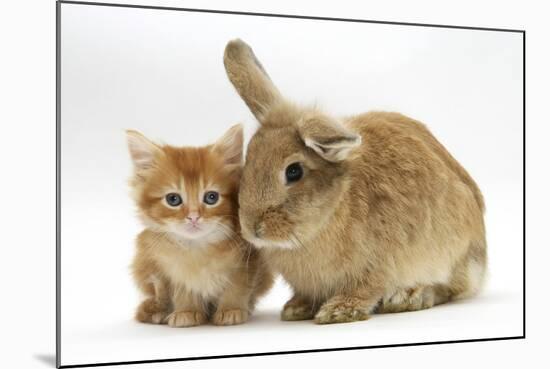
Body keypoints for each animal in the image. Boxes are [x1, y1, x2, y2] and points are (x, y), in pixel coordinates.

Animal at [126, 125, 274, 326]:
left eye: (211, 197)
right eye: (173, 199)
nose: (194, 217)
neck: (198, 248)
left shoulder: (246, 261)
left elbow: (237, 287)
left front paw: (231, 309)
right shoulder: (171, 268)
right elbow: (183, 290)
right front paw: (187, 311)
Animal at [222, 38, 490, 324]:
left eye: (294, 171)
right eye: (248, 161)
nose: (252, 228)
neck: (335, 205)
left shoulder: (379, 264)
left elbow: (366, 288)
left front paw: (338, 311)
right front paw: (297, 308)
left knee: (447, 289)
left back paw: (409, 297)